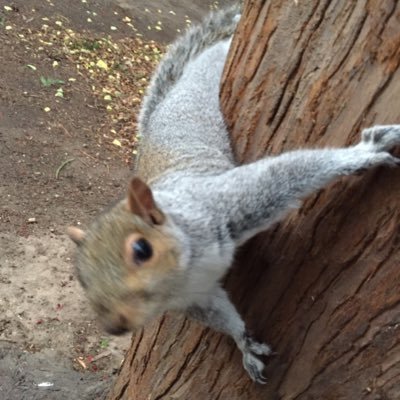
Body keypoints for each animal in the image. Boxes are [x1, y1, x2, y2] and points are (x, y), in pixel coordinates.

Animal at [67, 4, 400, 382]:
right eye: (81, 276)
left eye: (141, 249)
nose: (114, 326)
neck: (183, 275)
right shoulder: (198, 298)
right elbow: (222, 316)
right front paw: (245, 344)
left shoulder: (225, 205)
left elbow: (284, 174)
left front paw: (362, 153)